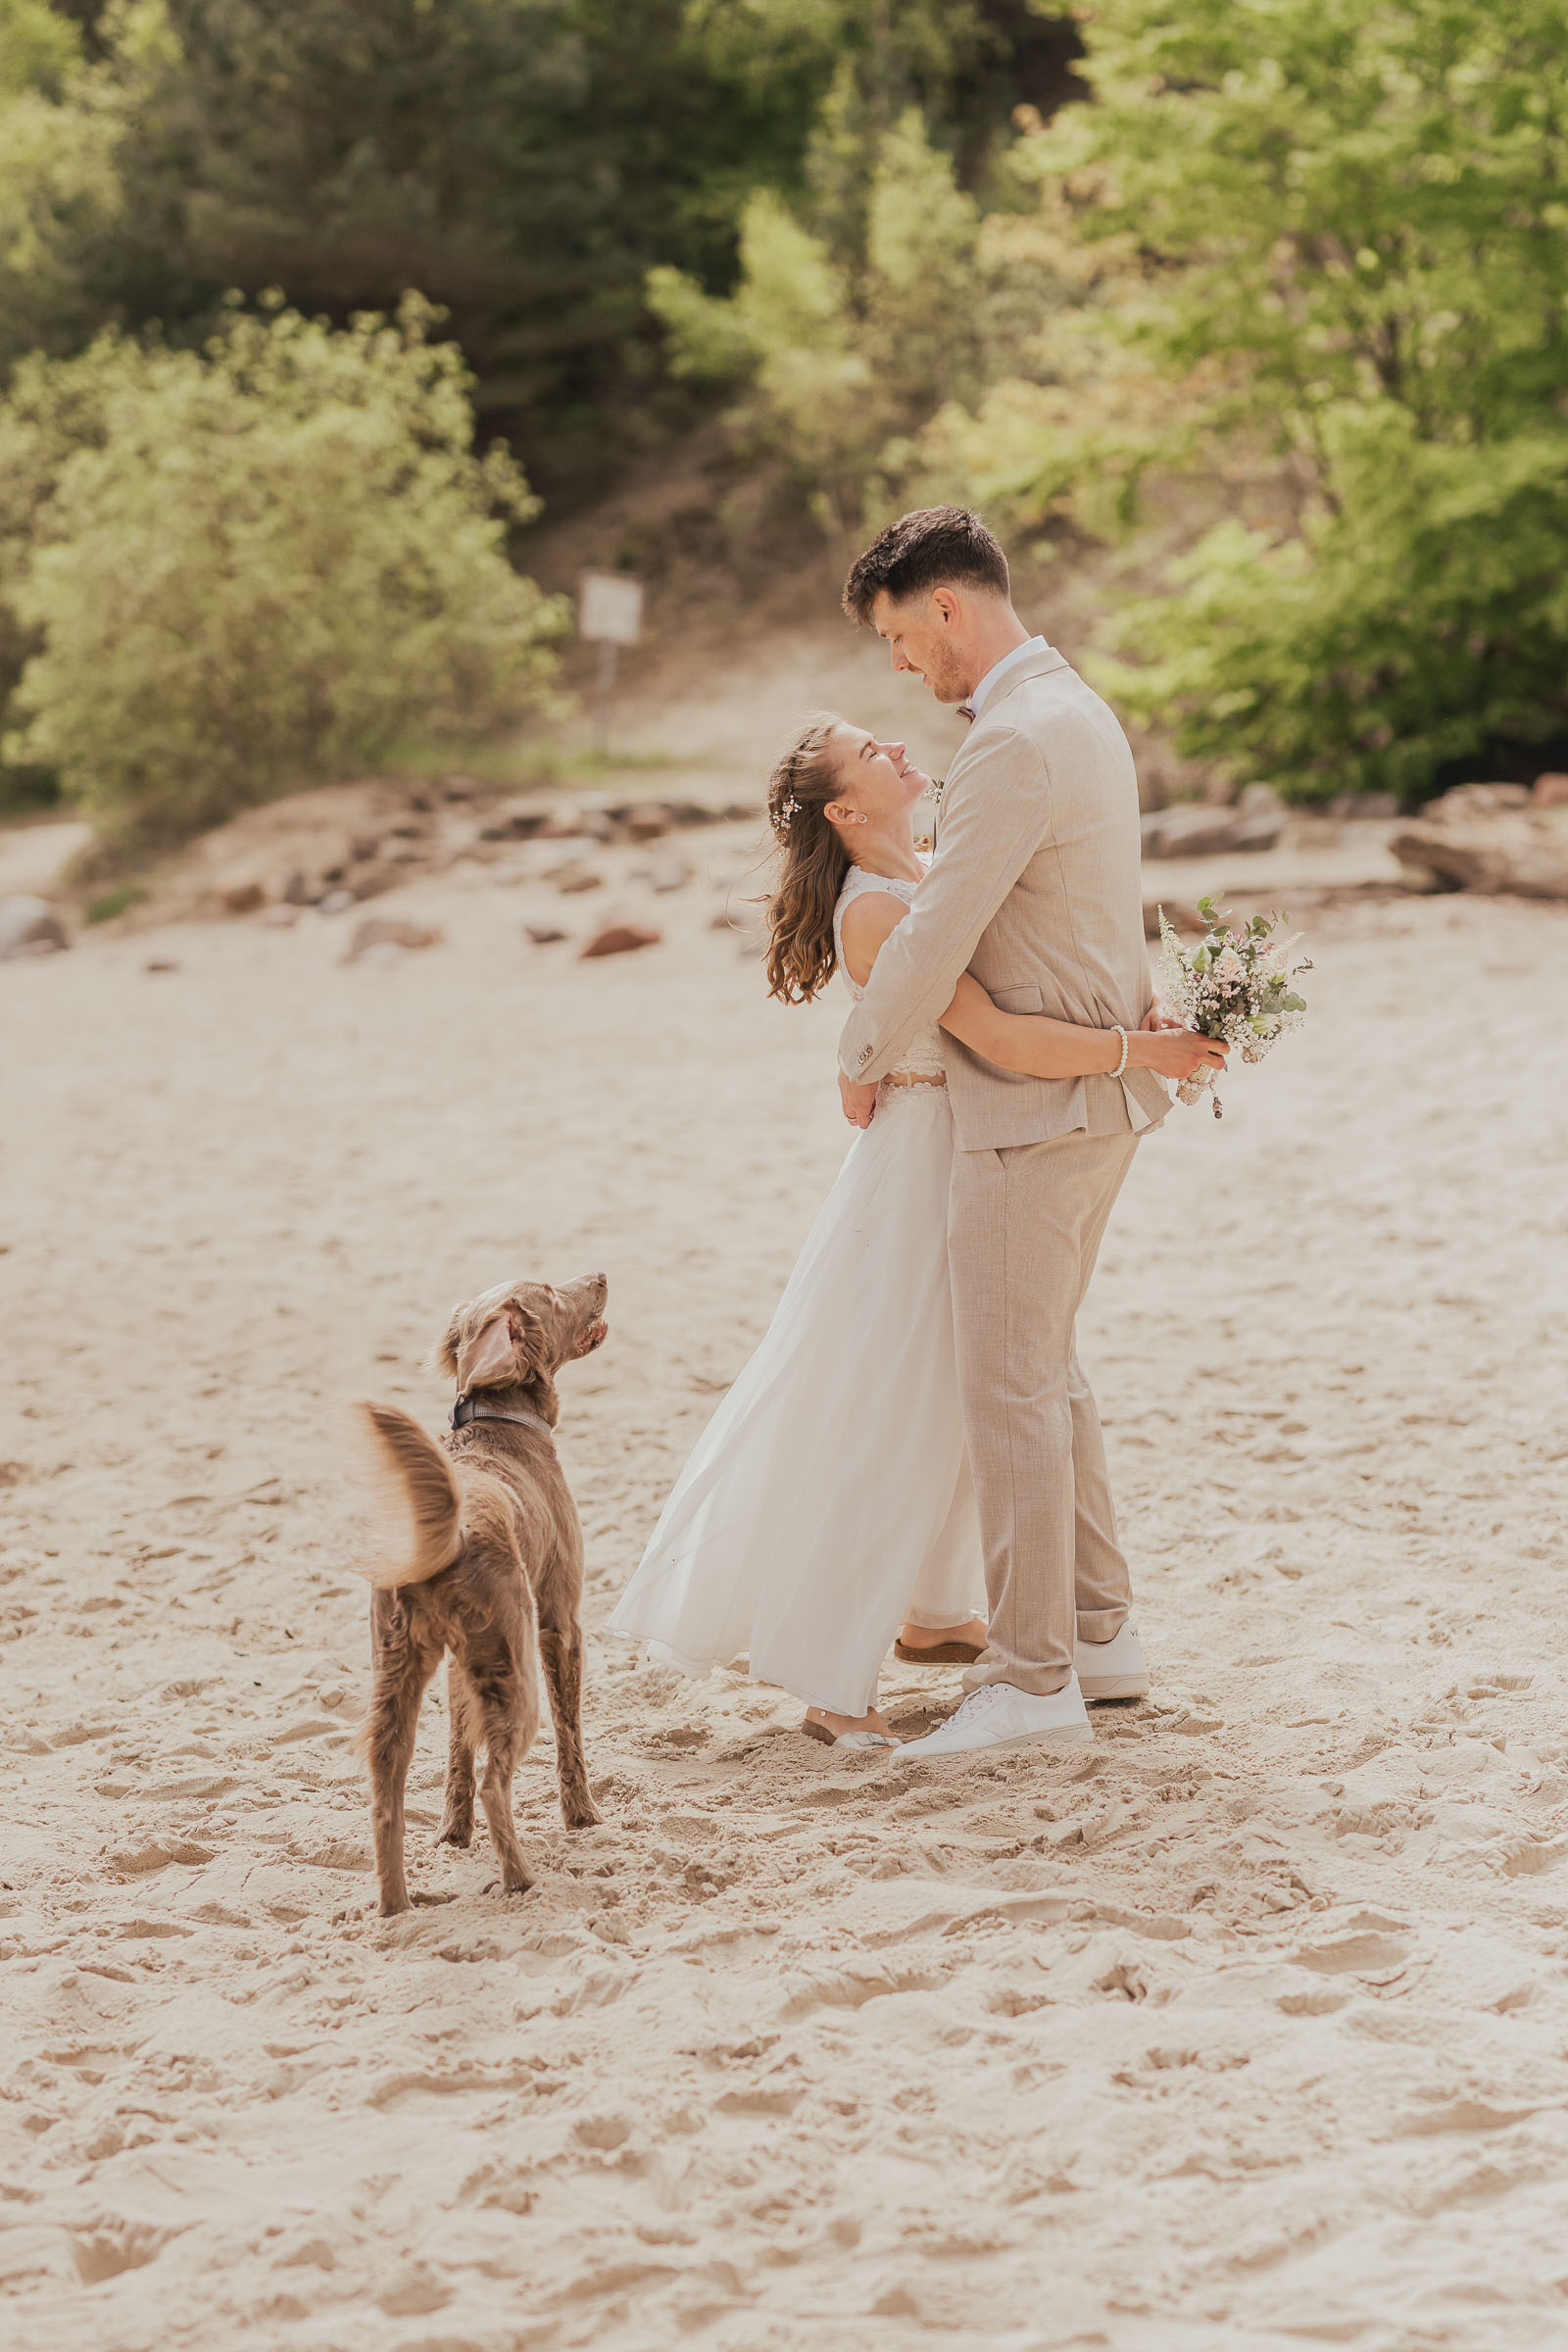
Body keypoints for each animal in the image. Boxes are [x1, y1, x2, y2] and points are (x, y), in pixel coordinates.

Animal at [355, 1279, 606, 1919]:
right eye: (551, 1291)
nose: (600, 1276)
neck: (502, 1420)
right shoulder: (560, 1622)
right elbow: (570, 1736)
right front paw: (583, 1817)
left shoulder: (457, 1663)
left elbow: (457, 1748)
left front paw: (452, 1832)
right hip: (517, 1673)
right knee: (499, 1783)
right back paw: (521, 1880)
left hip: (400, 1674)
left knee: (387, 1797)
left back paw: (396, 1906)